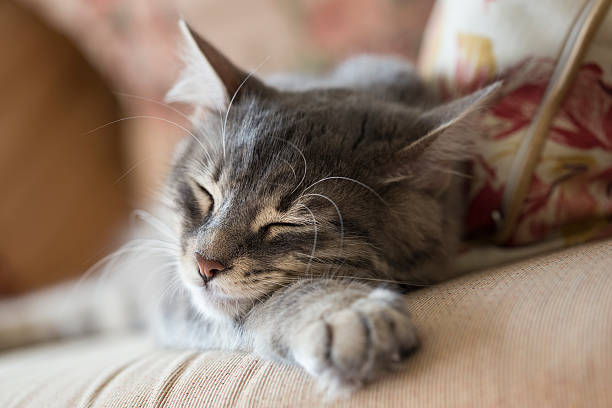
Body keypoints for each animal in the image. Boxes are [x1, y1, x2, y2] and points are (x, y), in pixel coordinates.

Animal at [0, 20, 500, 396]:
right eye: (206, 193)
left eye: (285, 222)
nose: (204, 265)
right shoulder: (174, 290)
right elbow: (263, 305)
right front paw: (341, 313)